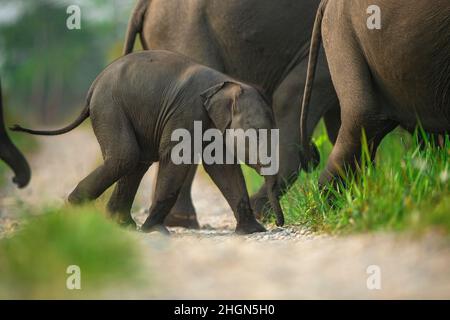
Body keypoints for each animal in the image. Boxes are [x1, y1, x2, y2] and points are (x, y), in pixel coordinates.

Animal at [14, 50, 284, 235]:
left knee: (136, 162)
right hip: (110, 107)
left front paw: (253, 231)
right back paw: (74, 211)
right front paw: (155, 231)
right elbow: (176, 159)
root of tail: (92, 88)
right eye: (256, 133)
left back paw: (122, 225)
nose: (279, 224)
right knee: (125, 157)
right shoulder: (187, 112)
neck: (226, 82)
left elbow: (223, 168)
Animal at [123, 0, 338, 228]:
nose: (314, 154)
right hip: (184, 34)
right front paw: (261, 213)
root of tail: (142, 5)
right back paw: (182, 222)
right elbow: (292, 95)